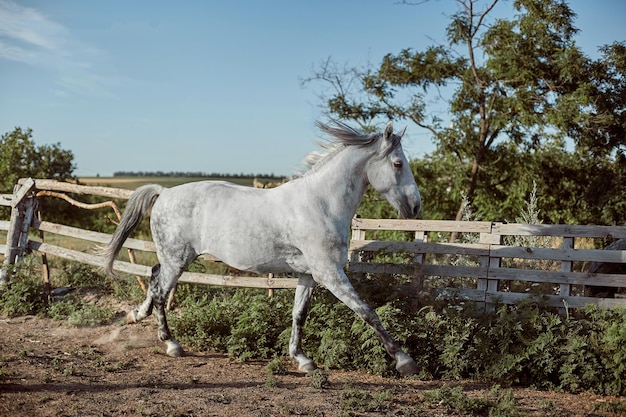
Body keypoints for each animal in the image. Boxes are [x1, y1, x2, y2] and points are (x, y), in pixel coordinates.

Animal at [102, 119, 422, 374]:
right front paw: (405, 361)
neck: (321, 204)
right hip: (176, 260)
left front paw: (302, 359)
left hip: (173, 259)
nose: (415, 207)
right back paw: (171, 344)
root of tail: (165, 192)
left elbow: (299, 314)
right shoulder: (330, 273)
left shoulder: (309, 275)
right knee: (159, 292)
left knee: (153, 276)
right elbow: (367, 311)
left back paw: (137, 315)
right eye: (398, 164)